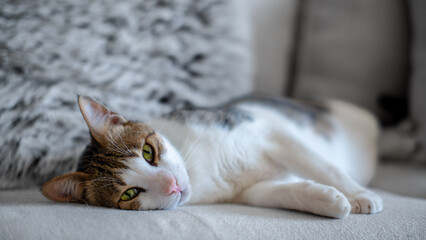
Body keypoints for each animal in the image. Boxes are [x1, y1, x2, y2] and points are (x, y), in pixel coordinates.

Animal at [42, 94, 382, 218]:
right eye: (129, 194)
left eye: (149, 152)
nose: (172, 185)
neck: (203, 171)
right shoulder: (249, 192)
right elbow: (283, 193)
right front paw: (330, 201)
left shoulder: (271, 132)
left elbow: (325, 167)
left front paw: (359, 195)